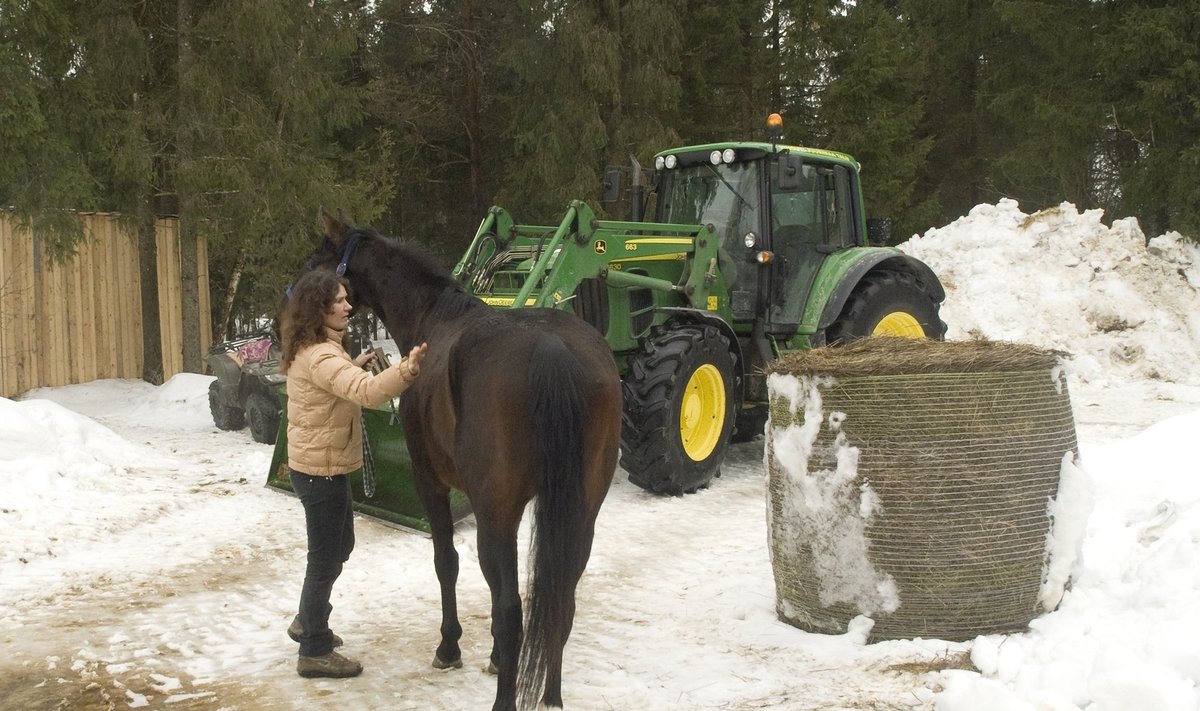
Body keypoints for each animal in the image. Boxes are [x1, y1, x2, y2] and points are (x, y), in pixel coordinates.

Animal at [300, 211, 624, 711]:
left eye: (320, 257)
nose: (293, 294)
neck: (435, 318)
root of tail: (554, 352)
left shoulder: (431, 483)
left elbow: (446, 562)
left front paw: (449, 647)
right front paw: (491, 657)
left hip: (497, 513)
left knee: (512, 608)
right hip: (581, 511)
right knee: (560, 598)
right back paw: (551, 695)